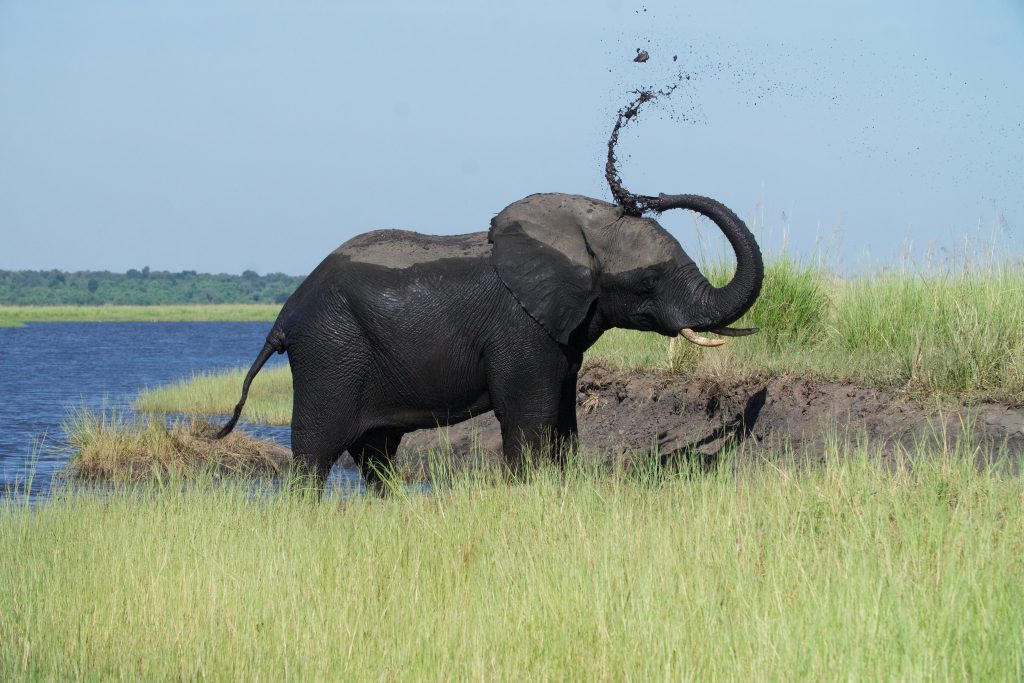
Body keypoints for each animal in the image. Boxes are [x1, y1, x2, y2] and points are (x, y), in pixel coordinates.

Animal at [218, 192, 761, 491]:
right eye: (649, 280)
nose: (646, 196)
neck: (577, 229)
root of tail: (284, 315)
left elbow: (563, 417)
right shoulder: (519, 327)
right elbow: (530, 416)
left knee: (377, 455)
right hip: (330, 350)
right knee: (316, 452)